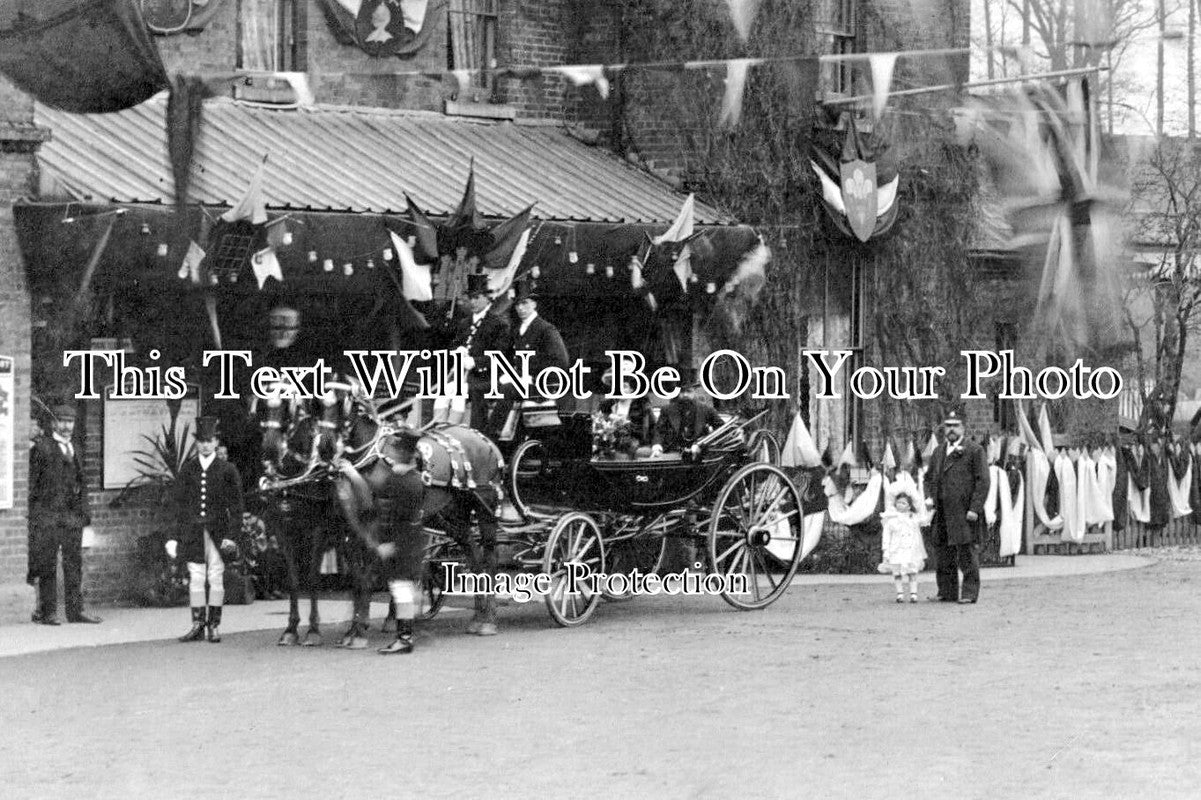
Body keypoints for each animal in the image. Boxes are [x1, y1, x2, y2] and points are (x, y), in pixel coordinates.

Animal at [255, 384, 377, 643]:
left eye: (288, 407)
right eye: (263, 405)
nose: (270, 449)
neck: (296, 477)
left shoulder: (318, 530)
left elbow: (311, 576)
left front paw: (312, 630)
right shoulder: (282, 529)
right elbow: (293, 578)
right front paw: (291, 629)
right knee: (363, 572)